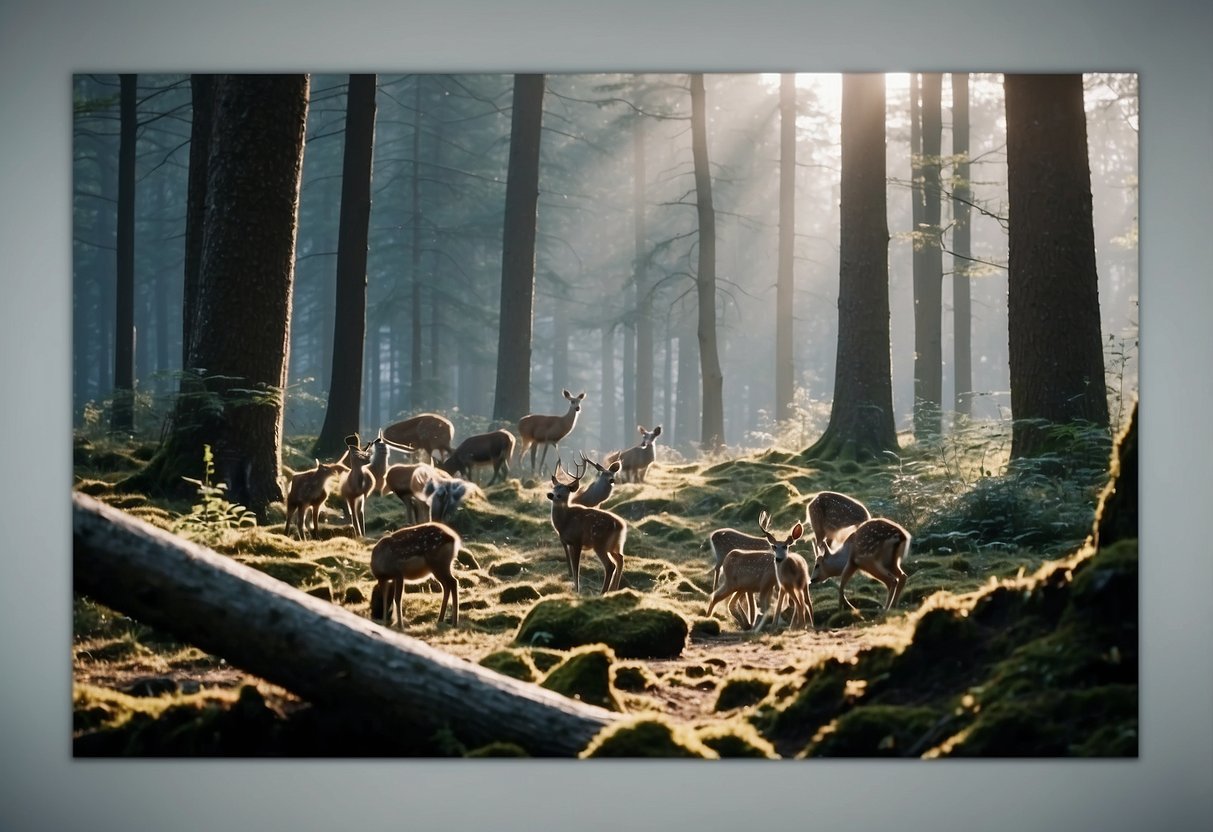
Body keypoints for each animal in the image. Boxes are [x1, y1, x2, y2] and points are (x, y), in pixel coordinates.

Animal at [548, 458, 625, 596]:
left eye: (564, 491)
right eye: (554, 488)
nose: (551, 495)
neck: (564, 523)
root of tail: (621, 526)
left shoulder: (577, 540)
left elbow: (576, 568)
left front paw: (577, 591)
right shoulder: (568, 543)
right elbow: (572, 568)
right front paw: (575, 589)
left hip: (600, 543)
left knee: (610, 565)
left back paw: (603, 592)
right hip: (615, 545)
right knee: (620, 559)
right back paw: (613, 589)